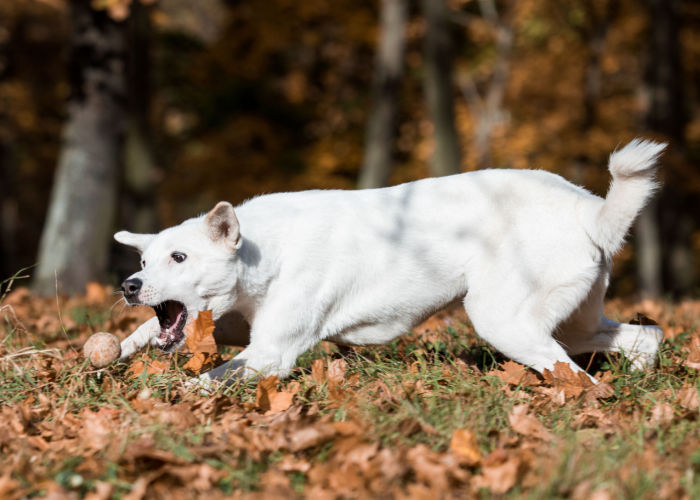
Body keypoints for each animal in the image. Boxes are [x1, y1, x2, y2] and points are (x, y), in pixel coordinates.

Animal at [115, 139, 668, 384]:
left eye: (180, 257)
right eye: (143, 258)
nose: (128, 285)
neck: (262, 251)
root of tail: (588, 209)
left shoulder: (271, 351)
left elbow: (206, 380)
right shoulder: (238, 327)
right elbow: (145, 334)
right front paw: (112, 352)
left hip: (504, 321)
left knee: (578, 375)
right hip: (571, 321)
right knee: (645, 334)